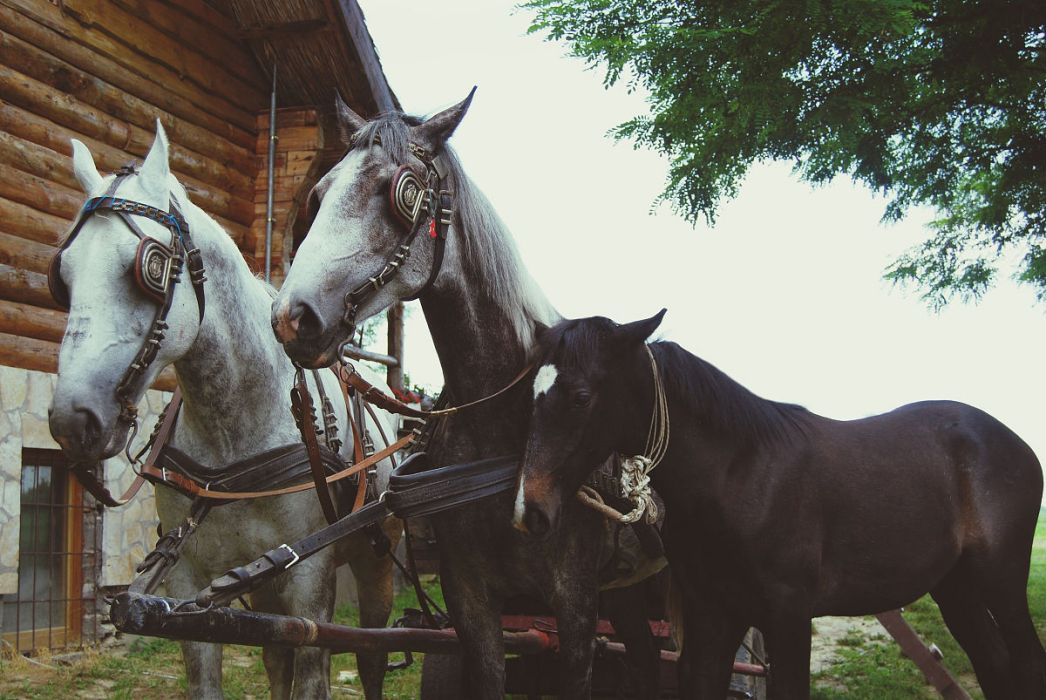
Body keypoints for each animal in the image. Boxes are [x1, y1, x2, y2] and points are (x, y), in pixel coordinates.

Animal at [47, 125, 402, 700]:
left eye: (149, 267)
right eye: (63, 274)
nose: (73, 420)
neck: (233, 438)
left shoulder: (308, 583)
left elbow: (315, 669)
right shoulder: (190, 584)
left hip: (376, 564)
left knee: (372, 653)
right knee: (276, 659)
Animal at [270, 93, 669, 698]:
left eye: (401, 190)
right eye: (319, 194)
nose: (292, 317)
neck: (510, 434)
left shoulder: (576, 604)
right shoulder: (471, 599)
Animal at [515, 310, 1046, 699]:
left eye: (581, 396)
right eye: (531, 393)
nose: (529, 510)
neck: (741, 476)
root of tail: (1010, 439)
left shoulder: (788, 618)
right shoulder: (715, 617)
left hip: (1001, 582)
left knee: (1025, 663)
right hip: (955, 587)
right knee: (995, 665)